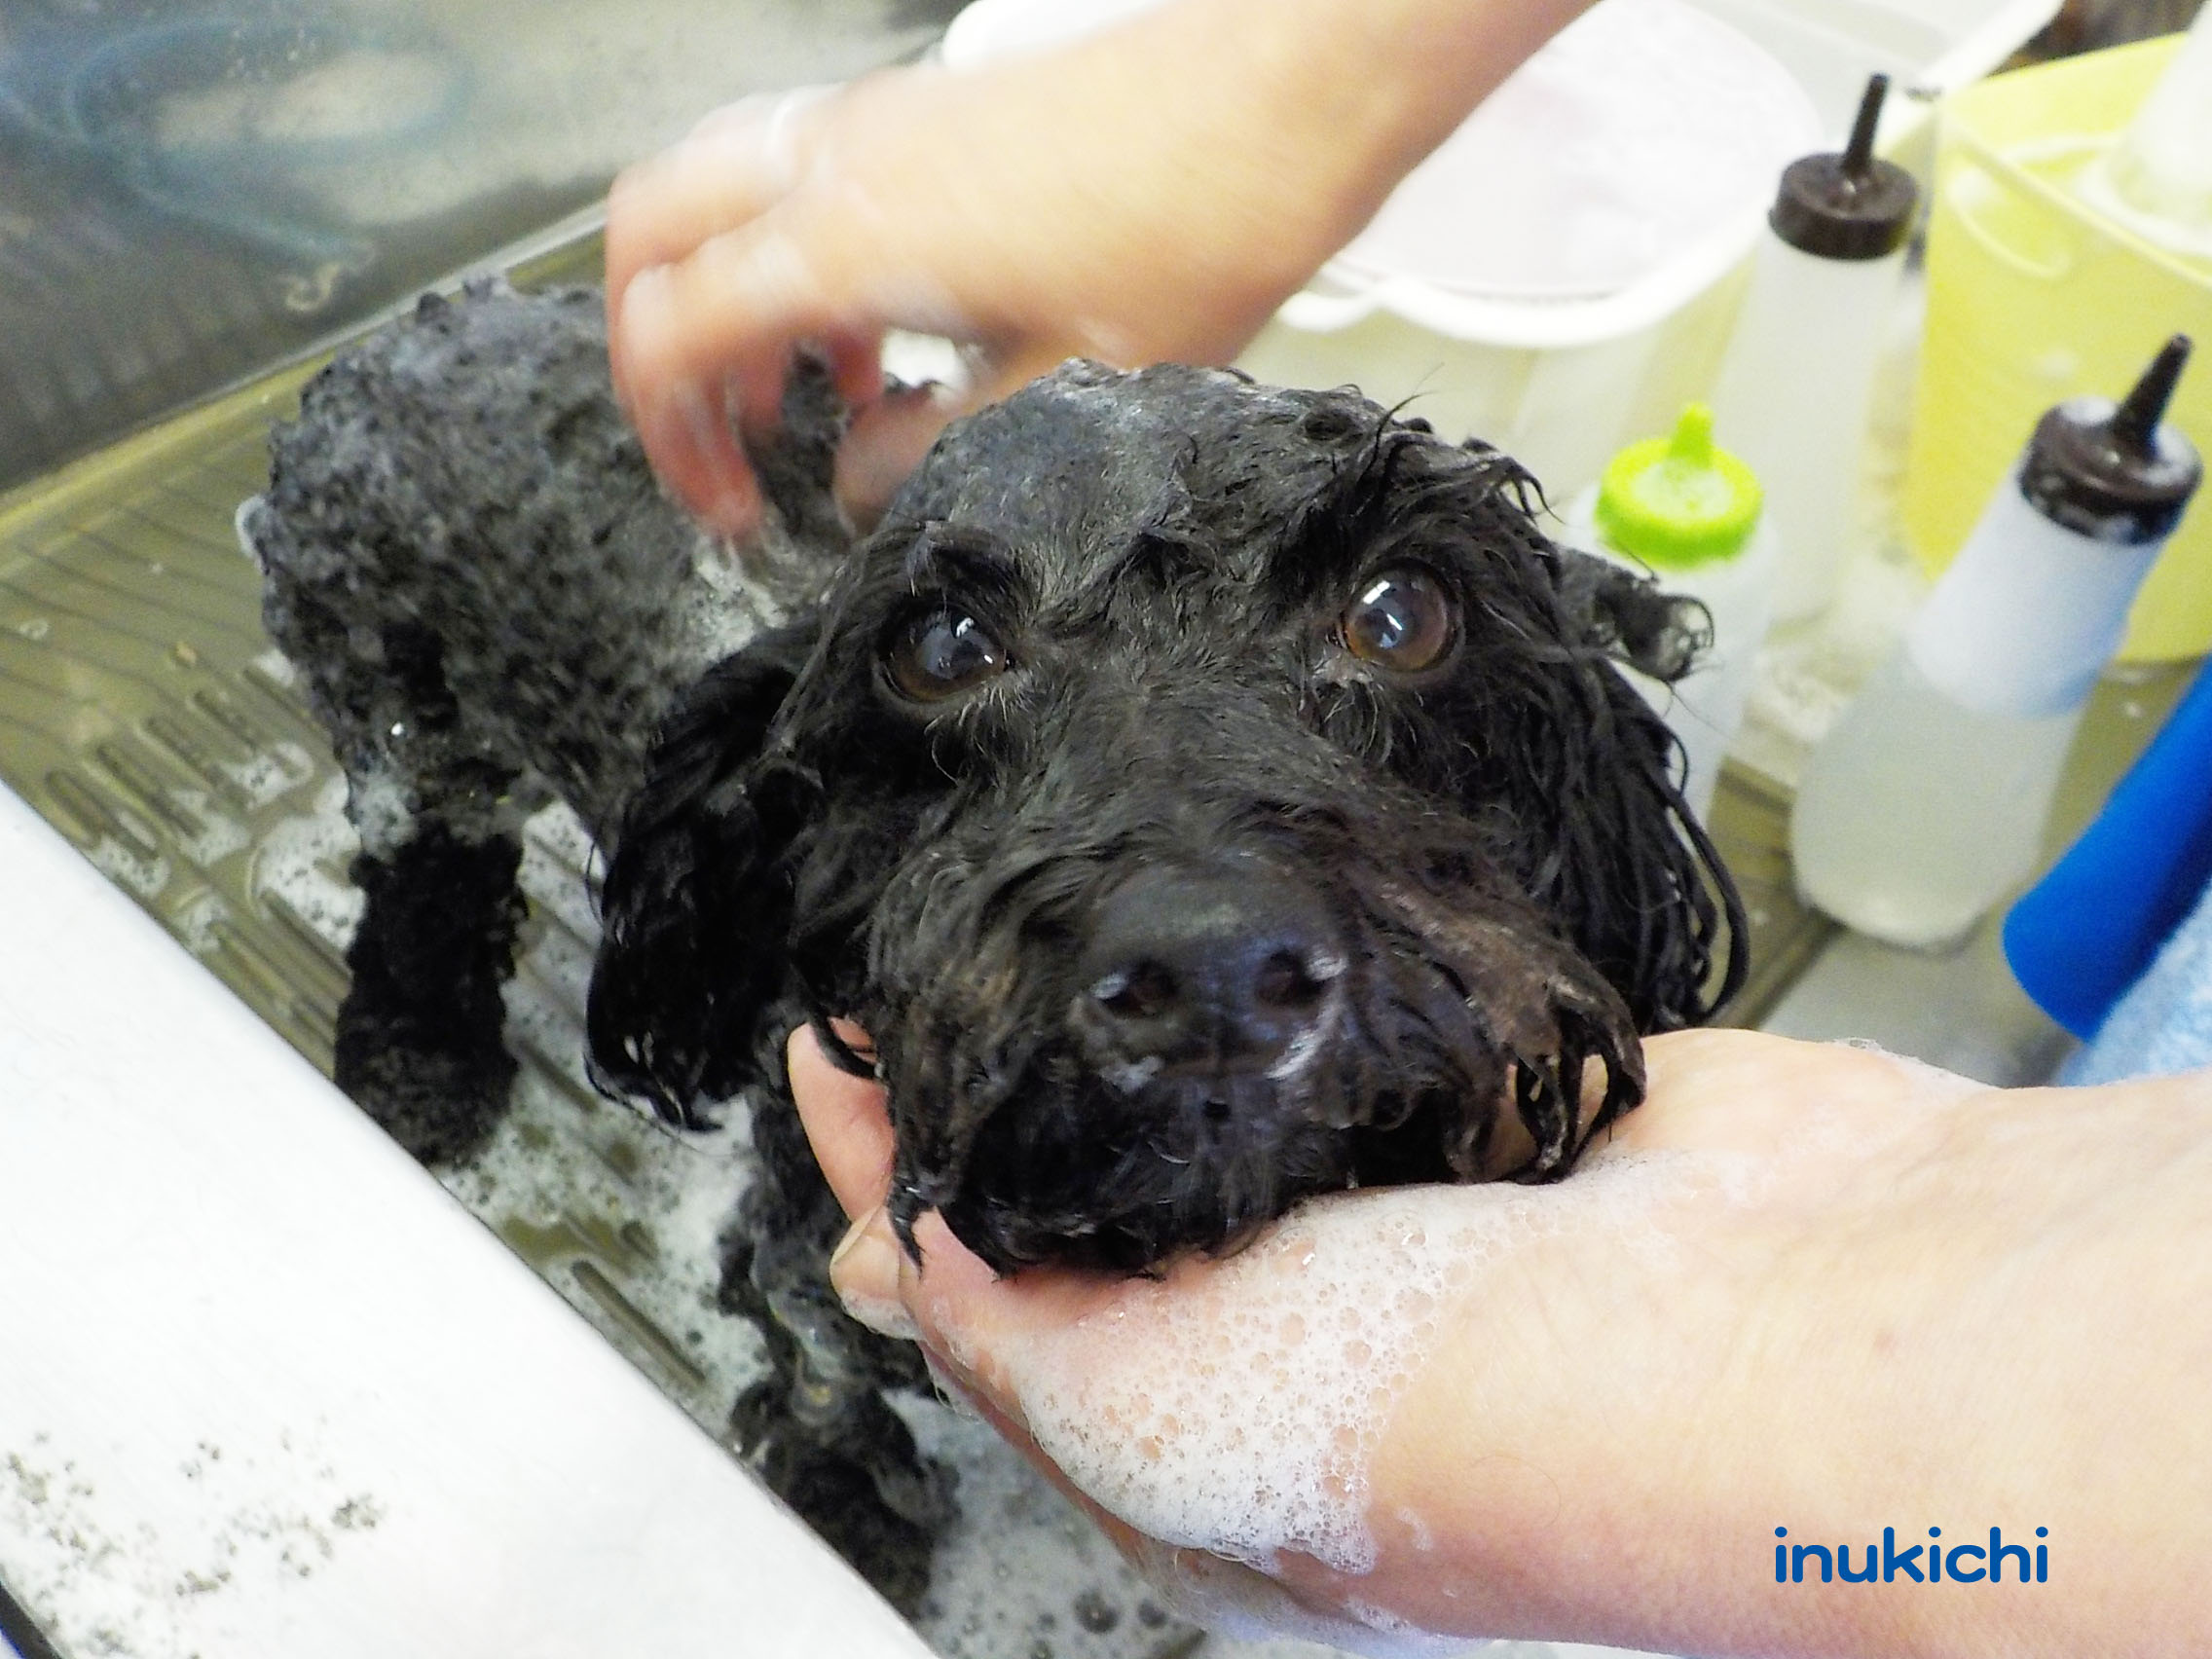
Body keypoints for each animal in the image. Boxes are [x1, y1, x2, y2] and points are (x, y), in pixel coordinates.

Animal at [242, 278, 1744, 1607]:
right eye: (944, 644)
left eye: (1400, 613)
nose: (1211, 970)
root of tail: (406, 333)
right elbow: (821, 1355)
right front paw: (841, 1497)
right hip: (399, 704)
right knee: (427, 878)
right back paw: (418, 1063)